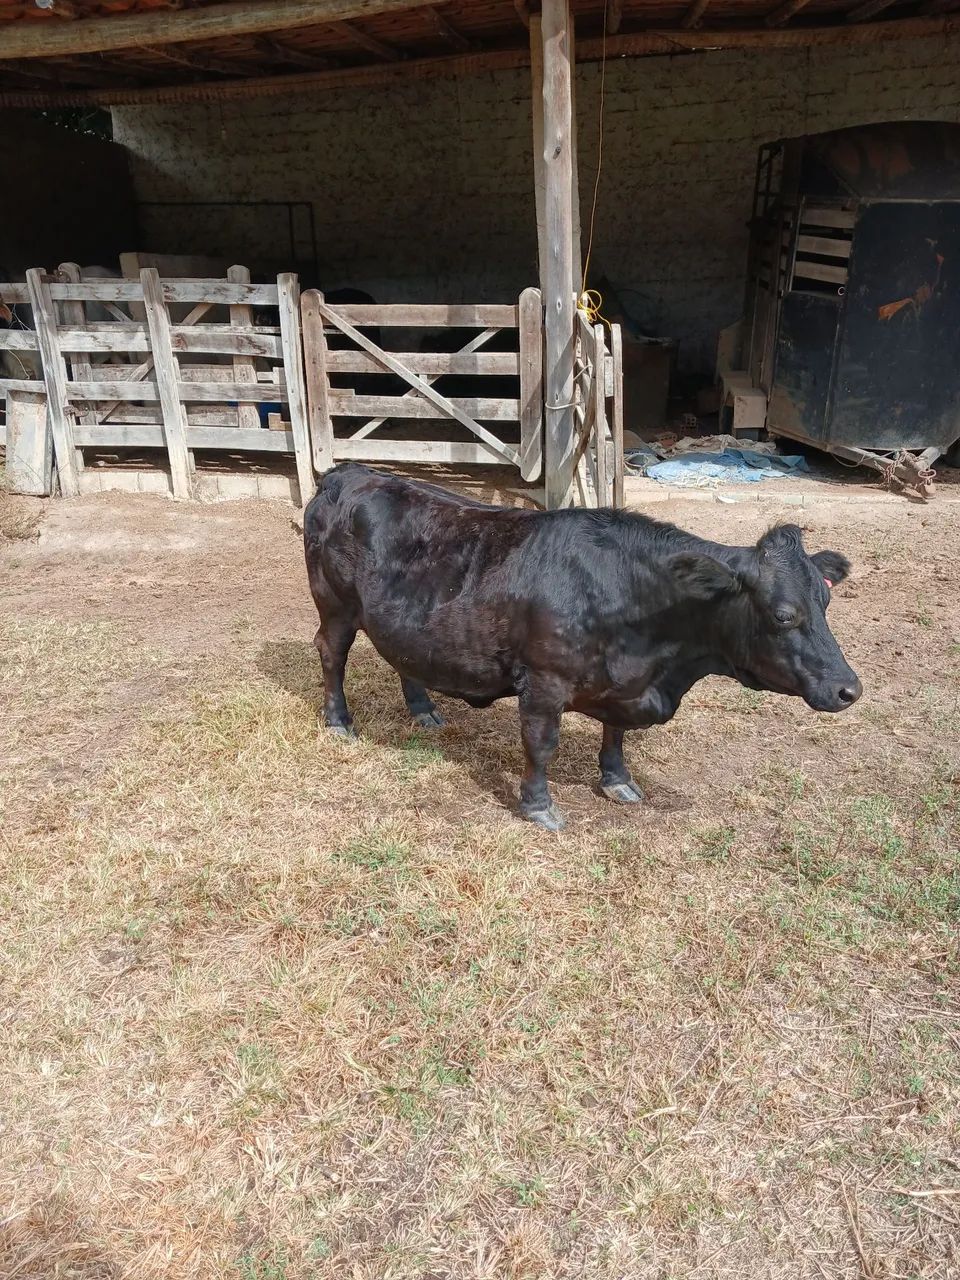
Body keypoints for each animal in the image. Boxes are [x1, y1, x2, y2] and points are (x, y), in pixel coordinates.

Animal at [303, 463, 861, 830]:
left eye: (827, 602)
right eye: (784, 614)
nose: (848, 689)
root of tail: (346, 473)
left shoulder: (624, 685)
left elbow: (616, 735)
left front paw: (618, 780)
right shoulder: (543, 682)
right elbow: (541, 744)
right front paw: (539, 806)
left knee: (404, 656)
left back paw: (424, 711)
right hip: (335, 607)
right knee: (331, 654)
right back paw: (339, 722)